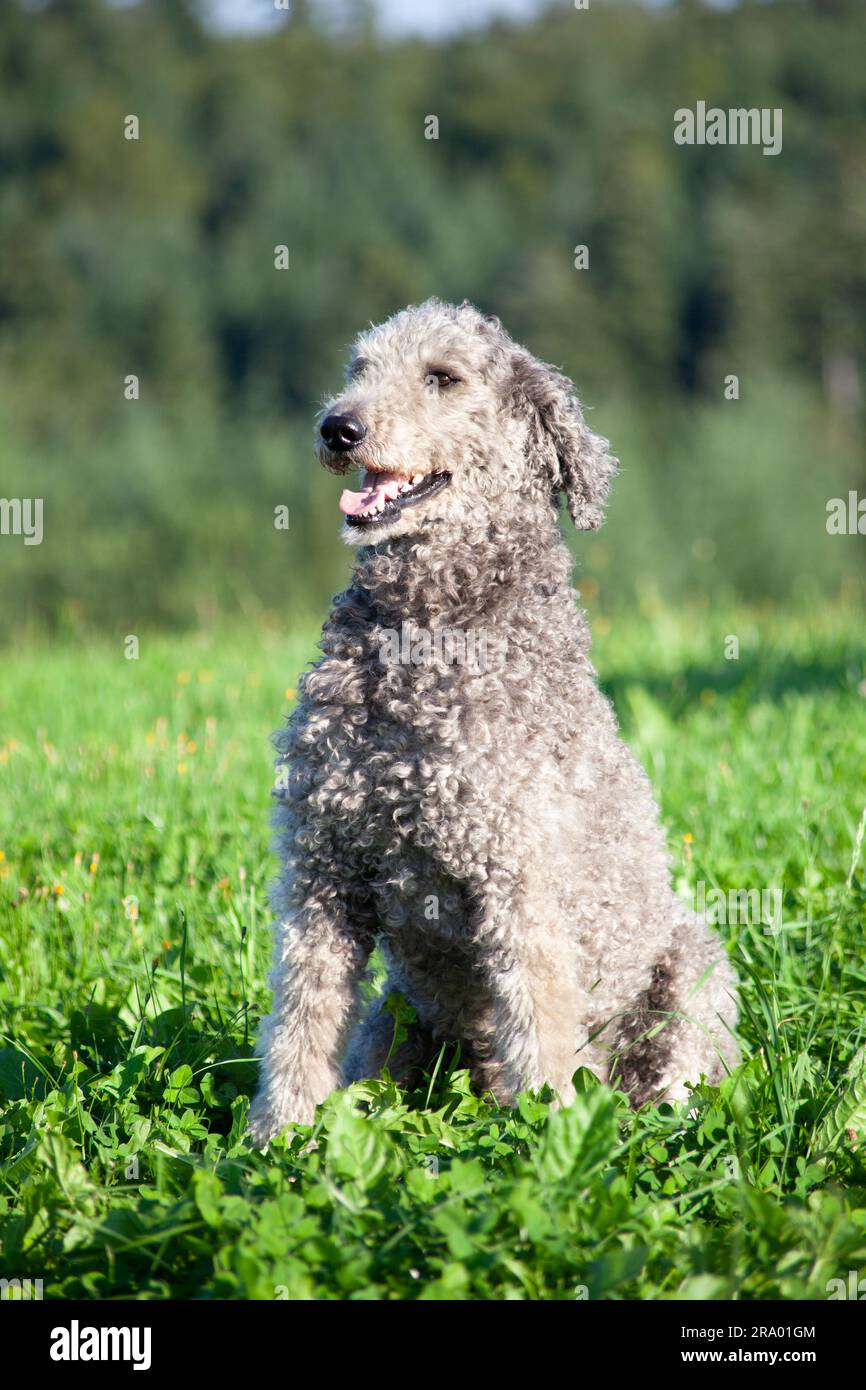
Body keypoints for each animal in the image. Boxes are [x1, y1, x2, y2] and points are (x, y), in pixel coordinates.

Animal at [248, 293, 739, 1139]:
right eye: (359, 367)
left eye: (442, 377)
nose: (338, 427)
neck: (424, 633)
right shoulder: (322, 870)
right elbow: (301, 1020)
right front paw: (278, 1140)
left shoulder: (520, 883)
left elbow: (539, 1029)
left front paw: (552, 1145)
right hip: (395, 1017)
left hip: (694, 967)